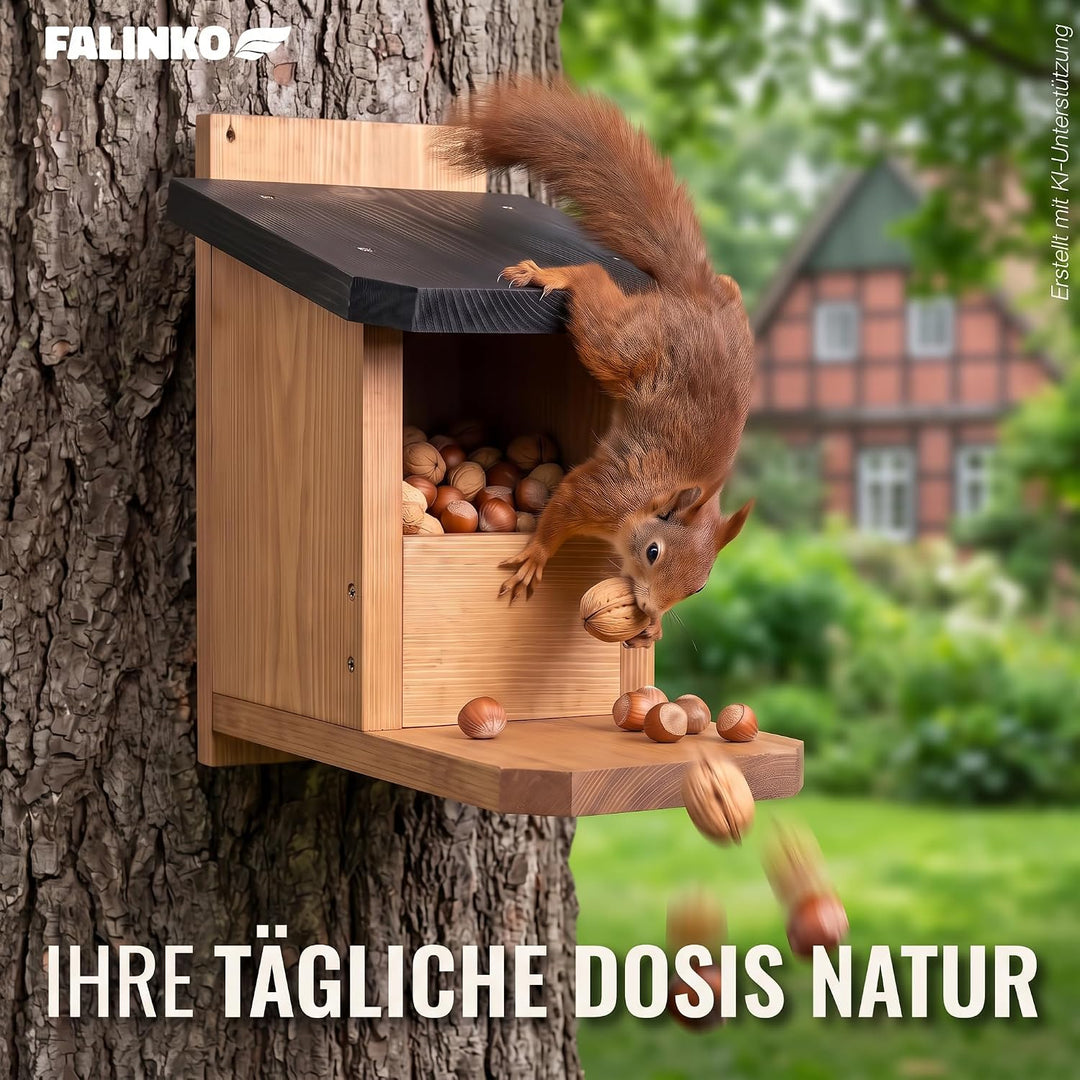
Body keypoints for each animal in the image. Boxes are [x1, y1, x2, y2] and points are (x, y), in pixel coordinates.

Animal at [443, 79, 755, 647]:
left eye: (700, 586)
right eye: (653, 552)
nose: (649, 607)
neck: (649, 501)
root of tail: (694, 290)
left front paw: (651, 628)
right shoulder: (603, 493)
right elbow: (563, 502)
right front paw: (535, 556)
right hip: (623, 345)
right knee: (591, 284)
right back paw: (551, 275)